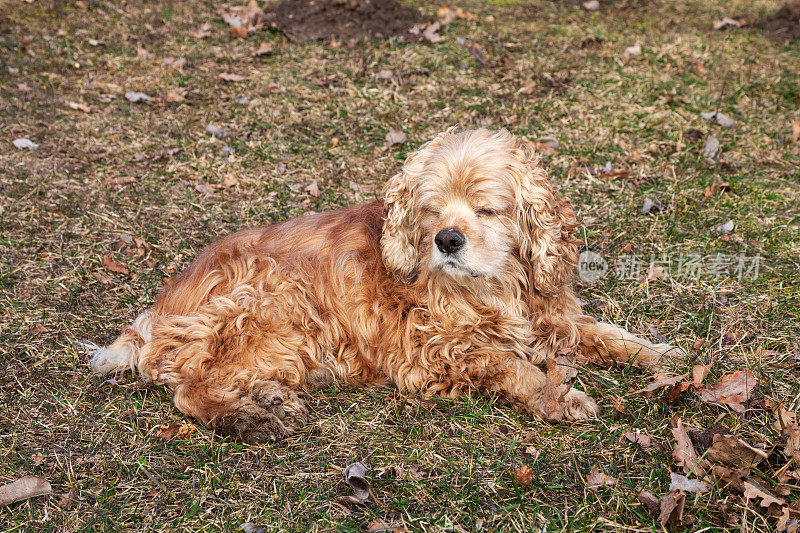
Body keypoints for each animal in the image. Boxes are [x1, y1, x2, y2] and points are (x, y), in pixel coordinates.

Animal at [92, 129, 680, 440]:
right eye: (433, 209)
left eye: (487, 209)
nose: (447, 240)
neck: (497, 285)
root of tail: (153, 318)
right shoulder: (437, 350)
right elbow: (515, 368)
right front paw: (560, 397)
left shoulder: (552, 314)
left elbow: (607, 335)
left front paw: (664, 356)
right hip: (272, 296)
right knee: (189, 391)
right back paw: (250, 418)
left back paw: (268, 398)